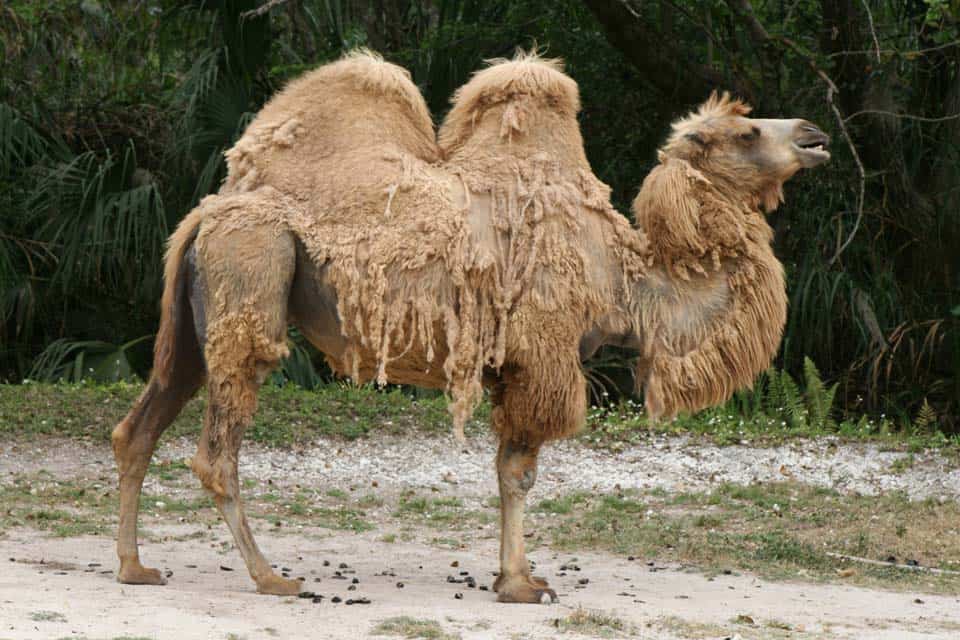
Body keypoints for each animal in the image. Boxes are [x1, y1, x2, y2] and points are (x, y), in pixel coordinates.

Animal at [110, 51, 832, 604]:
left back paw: (136, 567)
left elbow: (507, 471)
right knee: (217, 450)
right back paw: (271, 577)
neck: (628, 282)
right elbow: (520, 472)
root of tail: (209, 210)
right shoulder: (543, 355)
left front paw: (516, 576)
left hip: (192, 320)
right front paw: (521, 585)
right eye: (746, 133)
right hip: (251, 269)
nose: (814, 134)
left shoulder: (513, 364)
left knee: (139, 426)